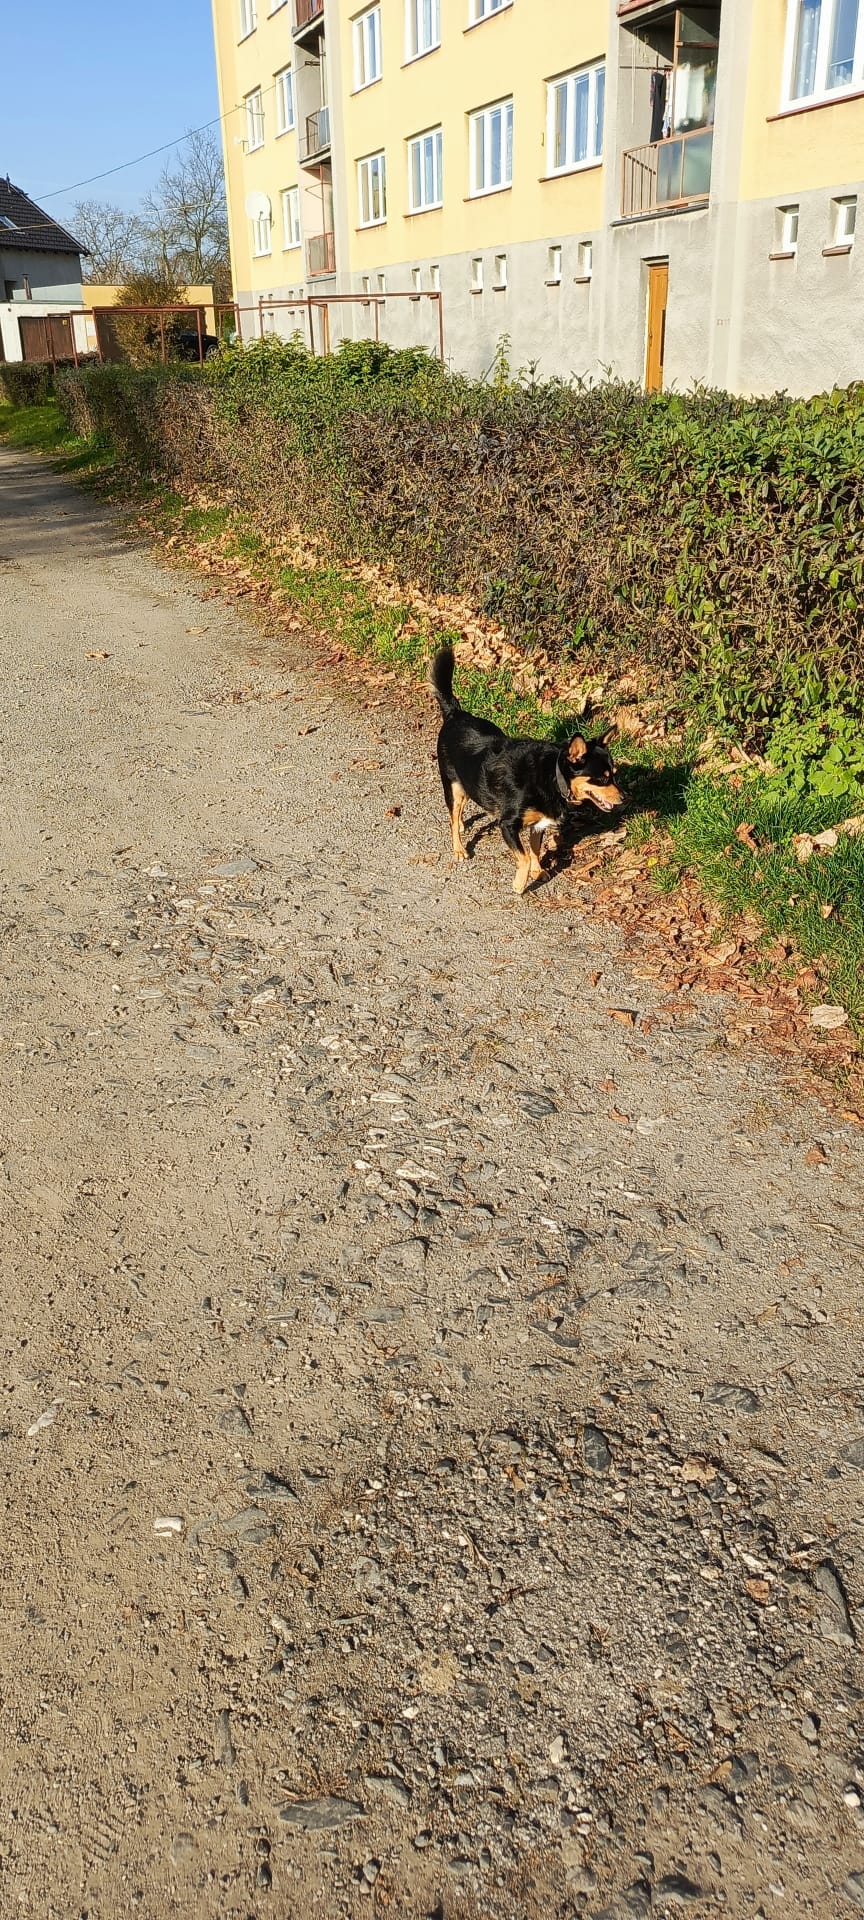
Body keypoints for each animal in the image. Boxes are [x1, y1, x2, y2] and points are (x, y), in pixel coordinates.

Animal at [430, 646, 623, 894]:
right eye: (602, 779)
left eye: (613, 775)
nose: (624, 798)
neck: (552, 777)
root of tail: (455, 713)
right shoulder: (508, 825)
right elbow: (522, 856)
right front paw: (520, 884)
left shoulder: (539, 825)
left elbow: (534, 850)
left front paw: (537, 871)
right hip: (451, 784)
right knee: (452, 818)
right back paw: (459, 848)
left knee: (461, 807)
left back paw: (464, 825)